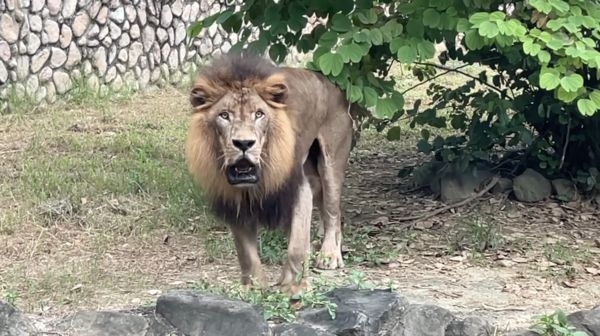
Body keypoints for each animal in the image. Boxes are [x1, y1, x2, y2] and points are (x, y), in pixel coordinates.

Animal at [185, 52, 356, 292]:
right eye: (224, 115)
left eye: (259, 114)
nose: (244, 143)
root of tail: (333, 85)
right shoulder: (235, 199)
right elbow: (246, 253)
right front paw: (254, 287)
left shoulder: (299, 190)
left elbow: (296, 245)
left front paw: (294, 286)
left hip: (331, 162)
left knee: (333, 211)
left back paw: (329, 254)